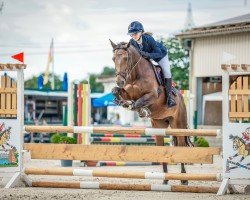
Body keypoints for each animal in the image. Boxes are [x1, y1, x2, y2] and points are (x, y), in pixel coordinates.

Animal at [108, 39, 192, 185]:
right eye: (113, 59)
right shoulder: (127, 92)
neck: (135, 76)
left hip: (178, 124)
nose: (120, 81)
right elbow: (116, 91)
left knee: (181, 146)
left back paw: (183, 179)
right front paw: (123, 102)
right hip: (159, 126)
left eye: (125, 58)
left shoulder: (152, 95)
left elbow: (139, 102)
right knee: (161, 148)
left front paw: (141, 110)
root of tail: (181, 98)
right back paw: (165, 180)